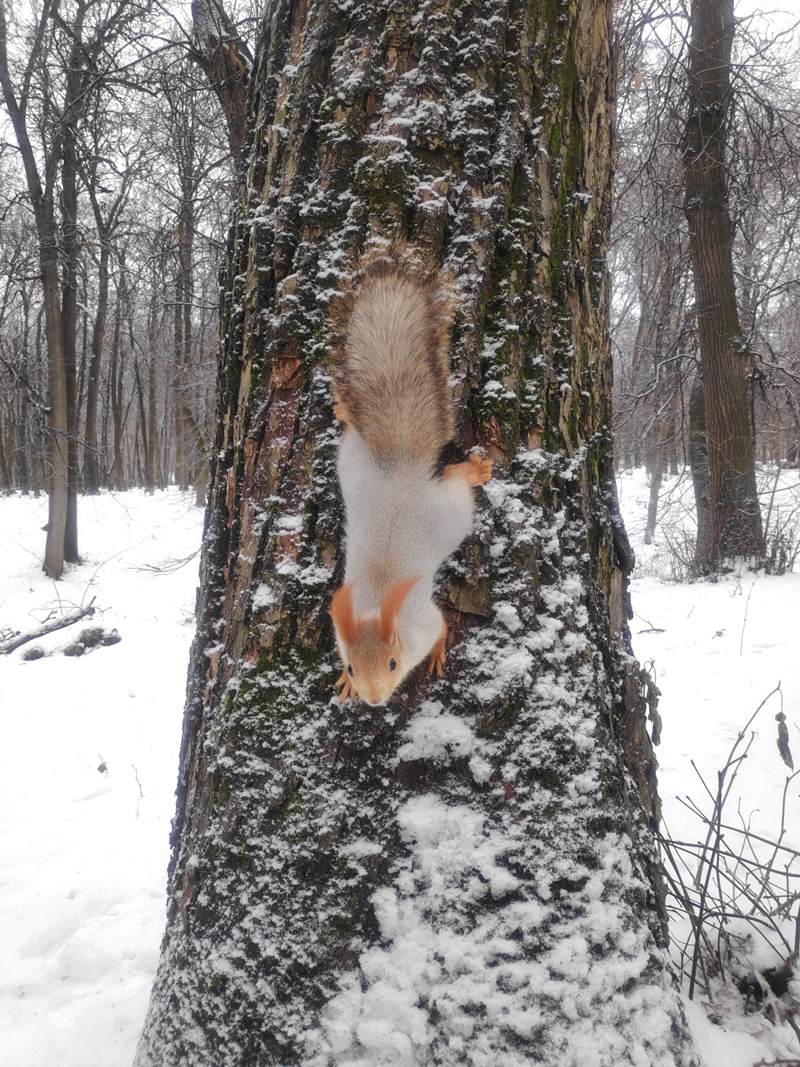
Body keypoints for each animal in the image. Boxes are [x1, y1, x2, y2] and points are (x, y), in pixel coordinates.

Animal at [326, 249, 492, 708]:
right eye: (351, 666)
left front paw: (436, 656)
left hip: (451, 512)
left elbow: (441, 629)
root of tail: (401, 470)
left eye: (392, 664)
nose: (374, 699)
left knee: (455, 479)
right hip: (352, 463)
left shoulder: (424, 621)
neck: (372, 605)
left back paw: (475, 470)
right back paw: (343, 407)